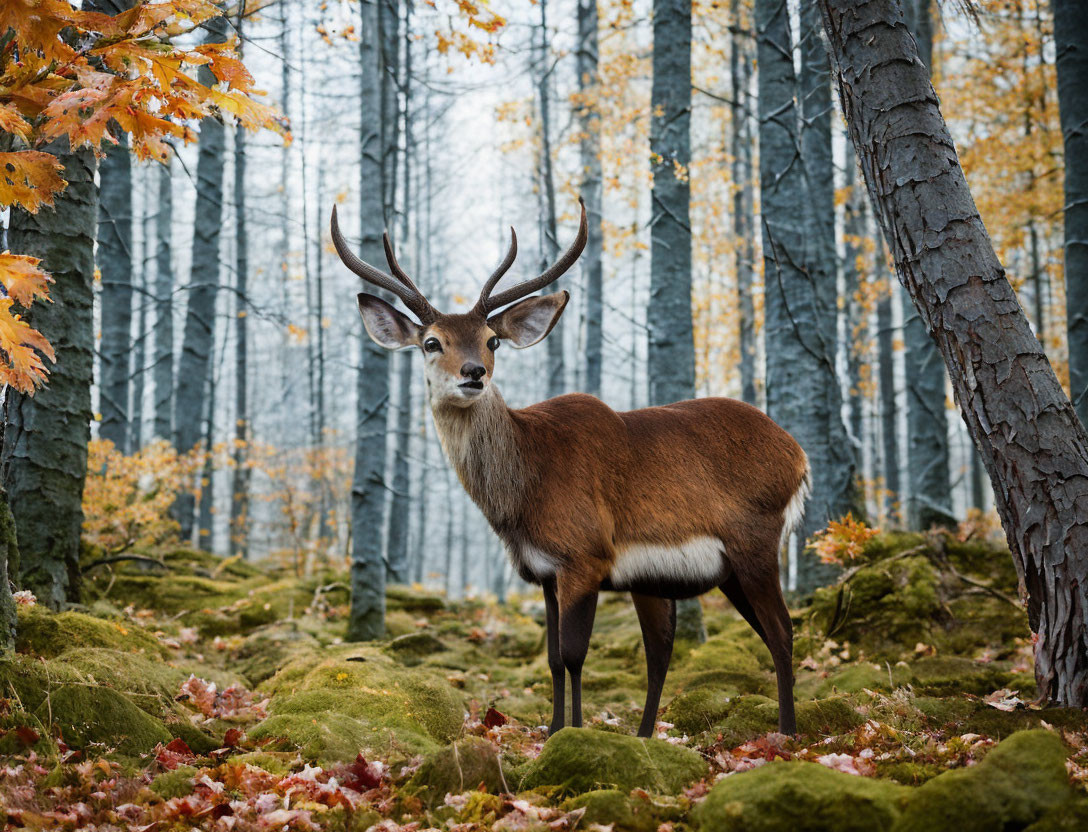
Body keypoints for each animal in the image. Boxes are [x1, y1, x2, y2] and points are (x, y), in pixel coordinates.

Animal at [330, 197, 809, 735]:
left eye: (492, 340)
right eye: (432, 342)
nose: (473, 373)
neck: (523, 492)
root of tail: (798, 455)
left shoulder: (585, 555)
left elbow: (577, 655)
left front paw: (574, 735)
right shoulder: (543, 572)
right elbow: (554, 659)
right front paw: (556, 730)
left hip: (755, 539)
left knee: (781, 630)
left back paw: (787, 734)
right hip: (700, 572)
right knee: (672, 650)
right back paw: (648, 736)